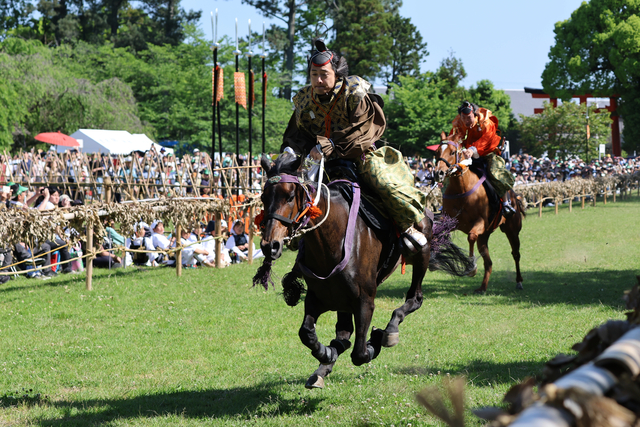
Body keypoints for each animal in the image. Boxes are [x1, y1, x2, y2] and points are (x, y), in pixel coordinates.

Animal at [256, 152, 476, 390]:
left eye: (289, 196)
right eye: (263, 198)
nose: (270, 246)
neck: (332, 241)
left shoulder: (364, 301)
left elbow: (360, 353)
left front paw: (376, 339)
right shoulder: (317, 298)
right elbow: (307, 333)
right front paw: (326, 354)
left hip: (421, 255)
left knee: (414, 298)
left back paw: (390, 330)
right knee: (343, 332)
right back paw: (326, 364)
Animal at [430, 137, 524, 294]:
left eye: (453, 152)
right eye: (436, 152)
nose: (439, 173)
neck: (461, 190)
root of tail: (514, 196)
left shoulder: (480, 222)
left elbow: (471, 236)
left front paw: (471, 266)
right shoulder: (449, 221)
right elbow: (436, 233)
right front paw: (433, 259)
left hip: (512, 231)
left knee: (516, 254)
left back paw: (519, 281)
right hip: (484, 237)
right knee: (489, 263)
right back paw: (482, 287)